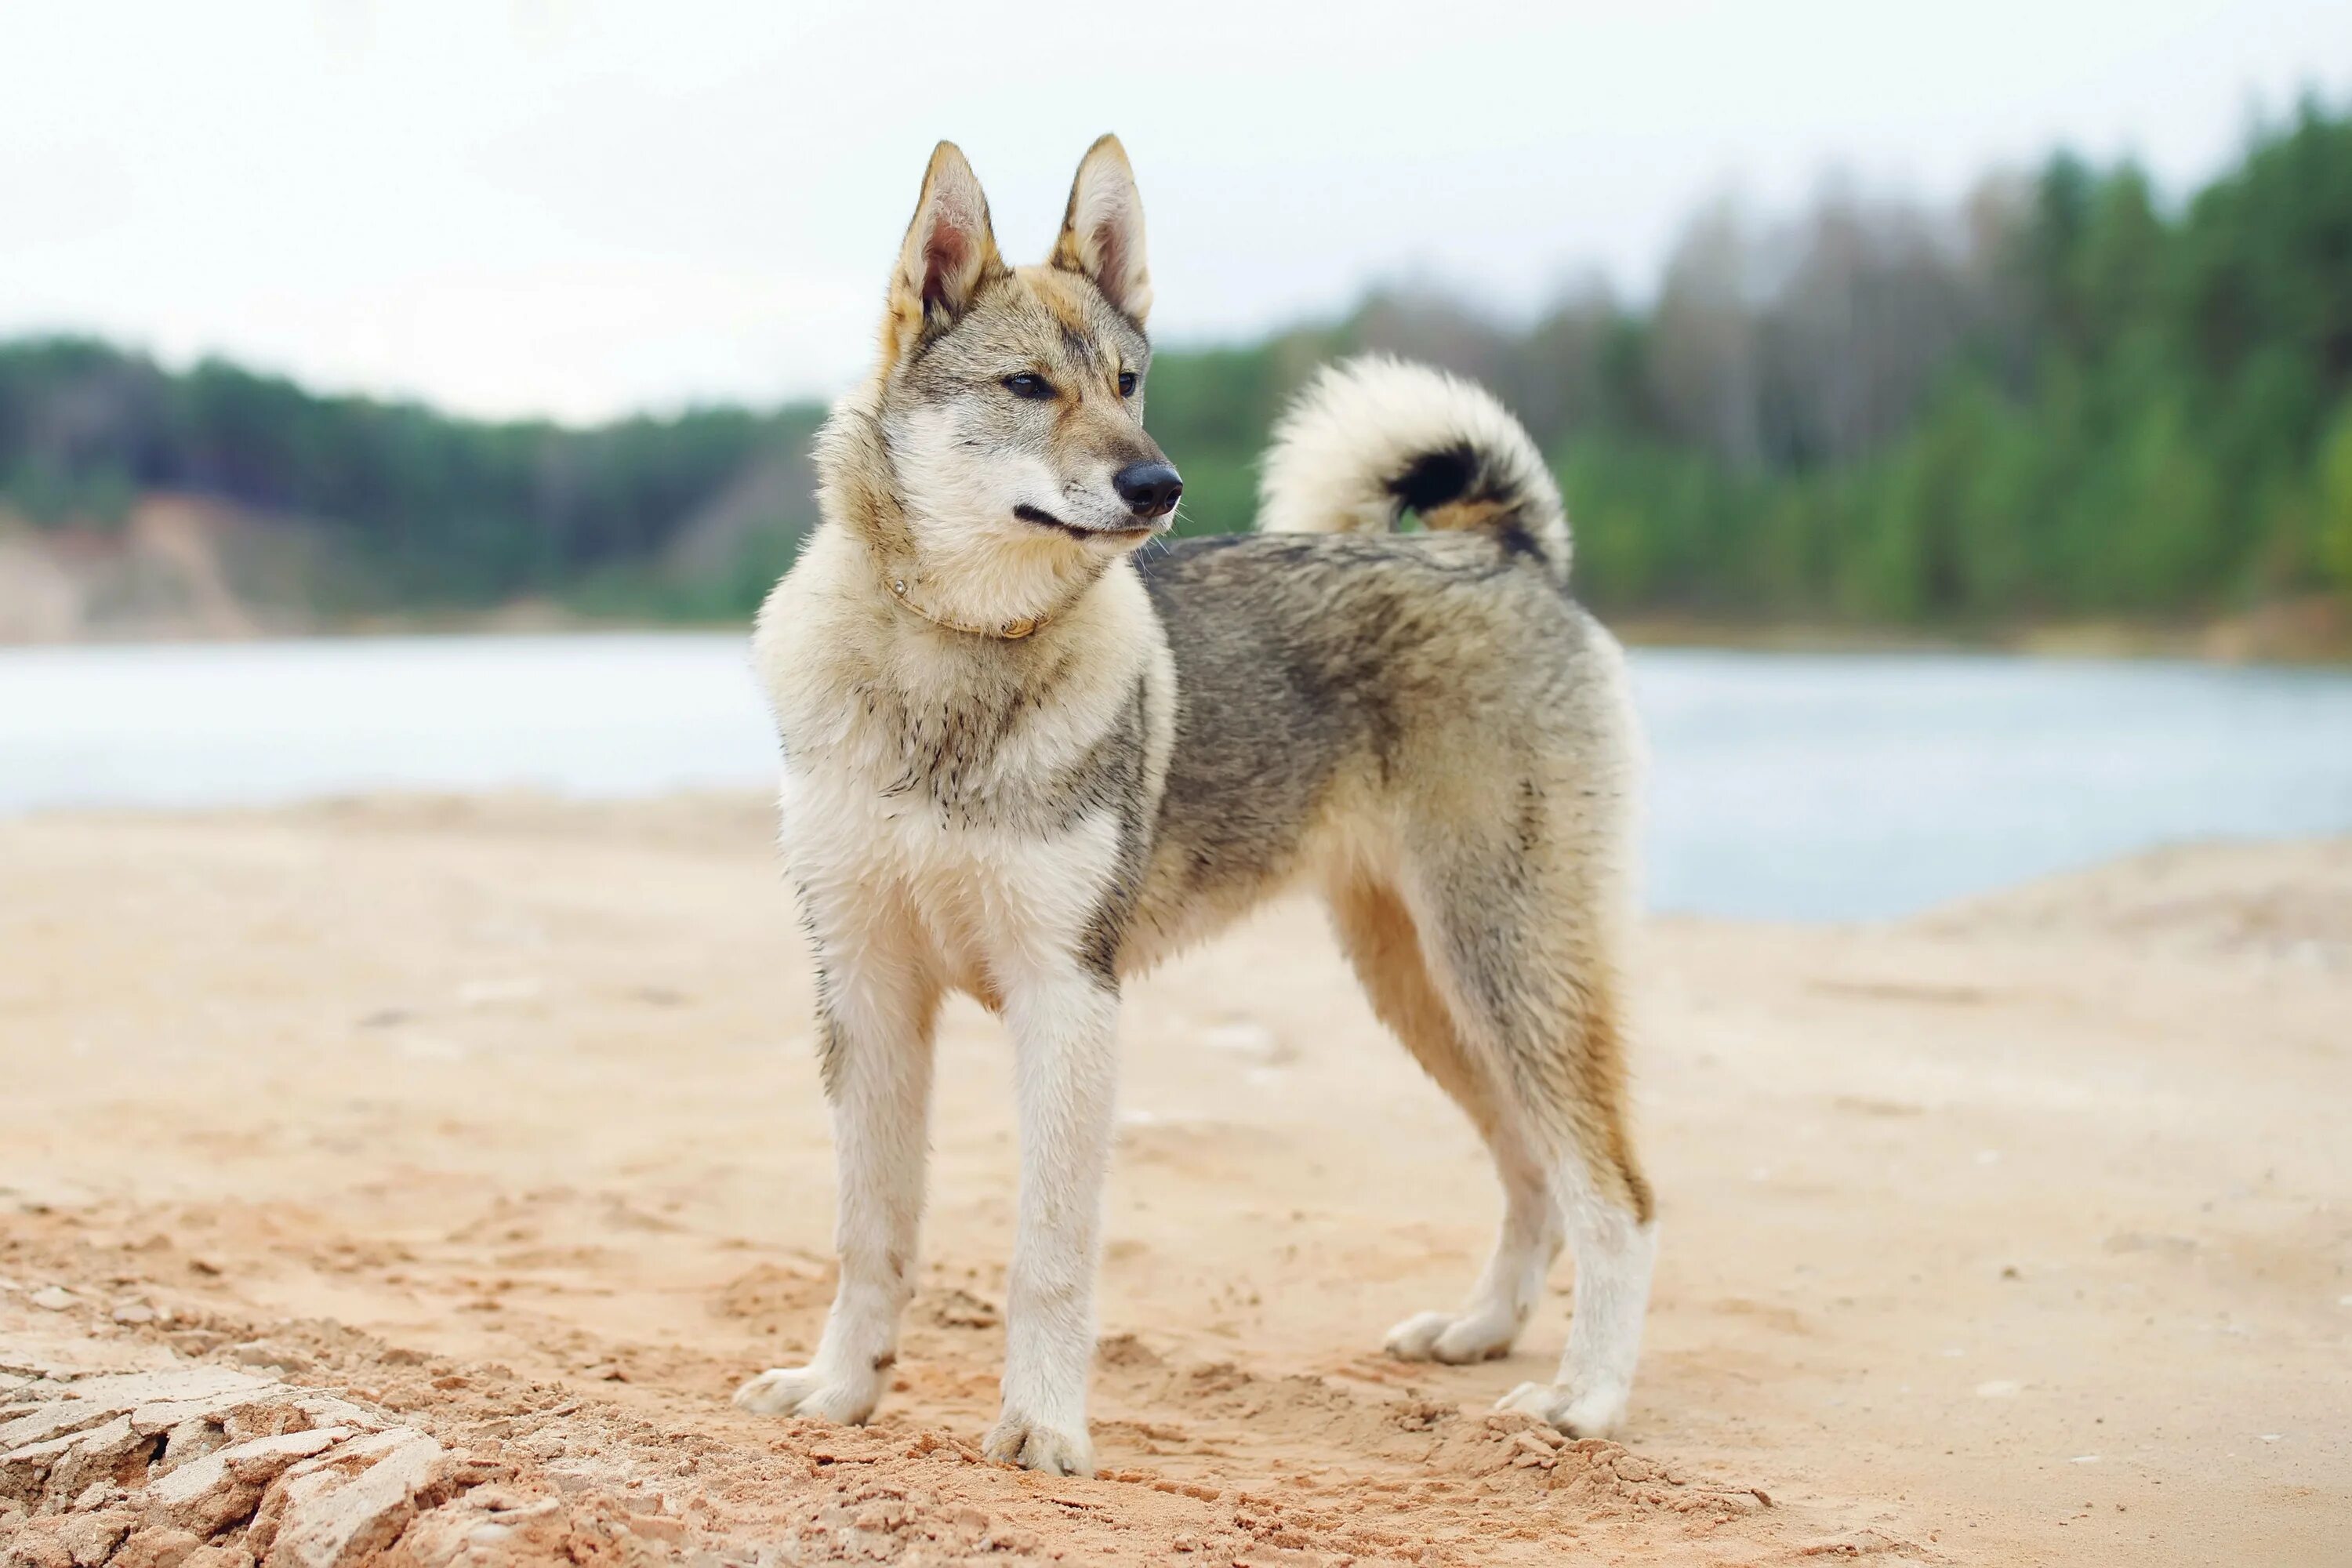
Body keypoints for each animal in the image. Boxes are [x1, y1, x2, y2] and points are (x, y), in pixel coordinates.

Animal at [734, 138, 1656, 1486]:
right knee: (1535, 1173)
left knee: (1616, 1193)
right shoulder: (865, 992)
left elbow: (1048, 1257)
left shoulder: (1068, 999)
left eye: (1128, 382)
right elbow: (871, 1233)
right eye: (1028, 385)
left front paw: (1044, 1430)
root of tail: (1501, 552)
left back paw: (1587, 1401)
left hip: (1508, 971)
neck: (953, 661)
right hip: (1429, 993)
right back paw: (1481, 1332)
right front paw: (842, 1392)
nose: (1158, 482)